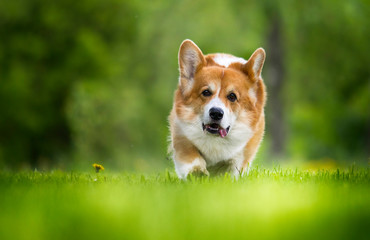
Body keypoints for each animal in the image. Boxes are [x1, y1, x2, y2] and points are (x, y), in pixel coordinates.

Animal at [169, 39, 268, 178]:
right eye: (206, 92)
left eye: (232, 96)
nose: (216, 113)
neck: (214, 138)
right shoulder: (181, 133)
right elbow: (191, 156)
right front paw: (197, 172)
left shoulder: (243, 149)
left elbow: (231, 164)